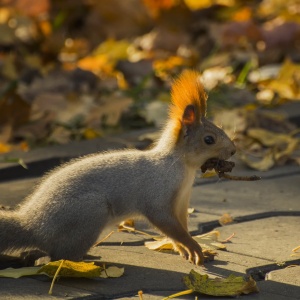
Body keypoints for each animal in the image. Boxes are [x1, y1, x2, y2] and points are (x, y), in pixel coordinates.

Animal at [0, 70, 236, 264]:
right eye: (209, 139)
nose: (233, 150)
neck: (182, 167)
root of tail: (33, 226)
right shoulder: (157, 197)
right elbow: (168, 225)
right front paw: (194, 247)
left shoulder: (181, 201)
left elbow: (179, 229)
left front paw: (185, 250)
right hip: (89, 211)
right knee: (60, 255)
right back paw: (85, 260)